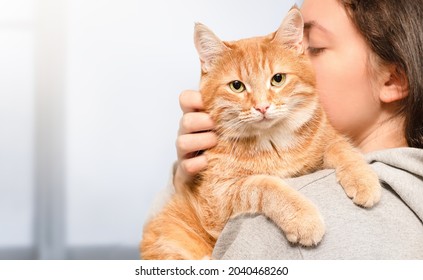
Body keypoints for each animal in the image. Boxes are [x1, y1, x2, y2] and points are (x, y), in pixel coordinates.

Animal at [141, 7, 382, 260]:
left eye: (278, 79)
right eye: (237, 86)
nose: (262, 107)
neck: (273, 142)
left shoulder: (327, 138)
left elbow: (342, 148)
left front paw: (363, 180)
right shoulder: (217, 199)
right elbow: (264, 185)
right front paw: (303, 217)